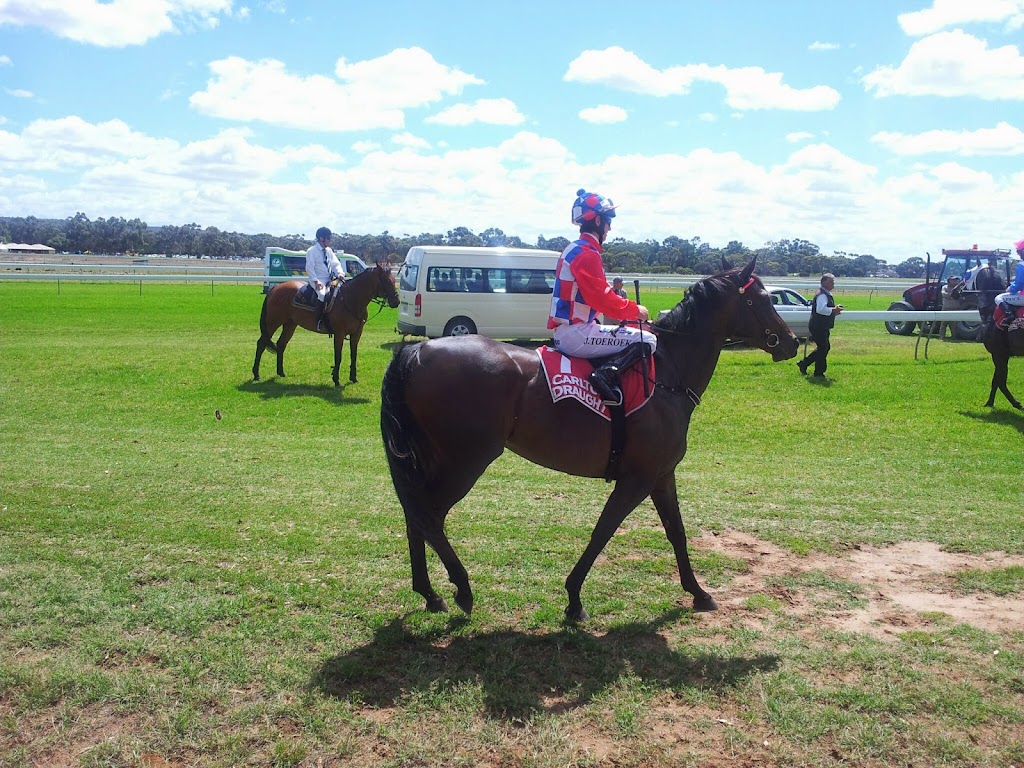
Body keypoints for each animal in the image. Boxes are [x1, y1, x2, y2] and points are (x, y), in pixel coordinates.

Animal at [252, 264, 399, 387]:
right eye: (387, 281)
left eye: (394, 279)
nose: (396, 301)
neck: (350, 299)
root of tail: (275, 288)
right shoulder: (339, 334)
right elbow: (338, 356)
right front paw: (336, 379)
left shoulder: (356, 334)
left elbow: (354, 355)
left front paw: (353, 378)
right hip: (272, 323)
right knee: (261, 343)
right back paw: (256, 374)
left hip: (290, 325)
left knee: (281, 344)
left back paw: (281, 373)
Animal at [382, 262, 798, 622]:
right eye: (761, 299)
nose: (792, 342)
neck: (665, 374)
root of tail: (417, 350)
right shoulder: (637, 479)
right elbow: (603, 532)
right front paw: (574, 598)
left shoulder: (662, 476)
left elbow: (676, 532)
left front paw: (698, 592)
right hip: (466, 460)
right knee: (429, 516)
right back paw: (461, 589)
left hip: (435, 459)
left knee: (415, 514)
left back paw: (430, 593)